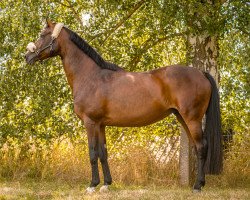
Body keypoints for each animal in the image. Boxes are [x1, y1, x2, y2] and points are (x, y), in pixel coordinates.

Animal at [24, 20, 222, 192]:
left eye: (42, 34)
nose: (27, 56)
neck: (90, 77)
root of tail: (201, 73)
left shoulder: (90, 123)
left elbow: (92, 153)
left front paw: (92, 185)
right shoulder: (100, 125)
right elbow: (103, 153)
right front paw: (106, 184)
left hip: (192, 119)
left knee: (202, 147)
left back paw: (197, 186)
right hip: (182, 118)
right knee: (196, 147)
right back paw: (199, 184)